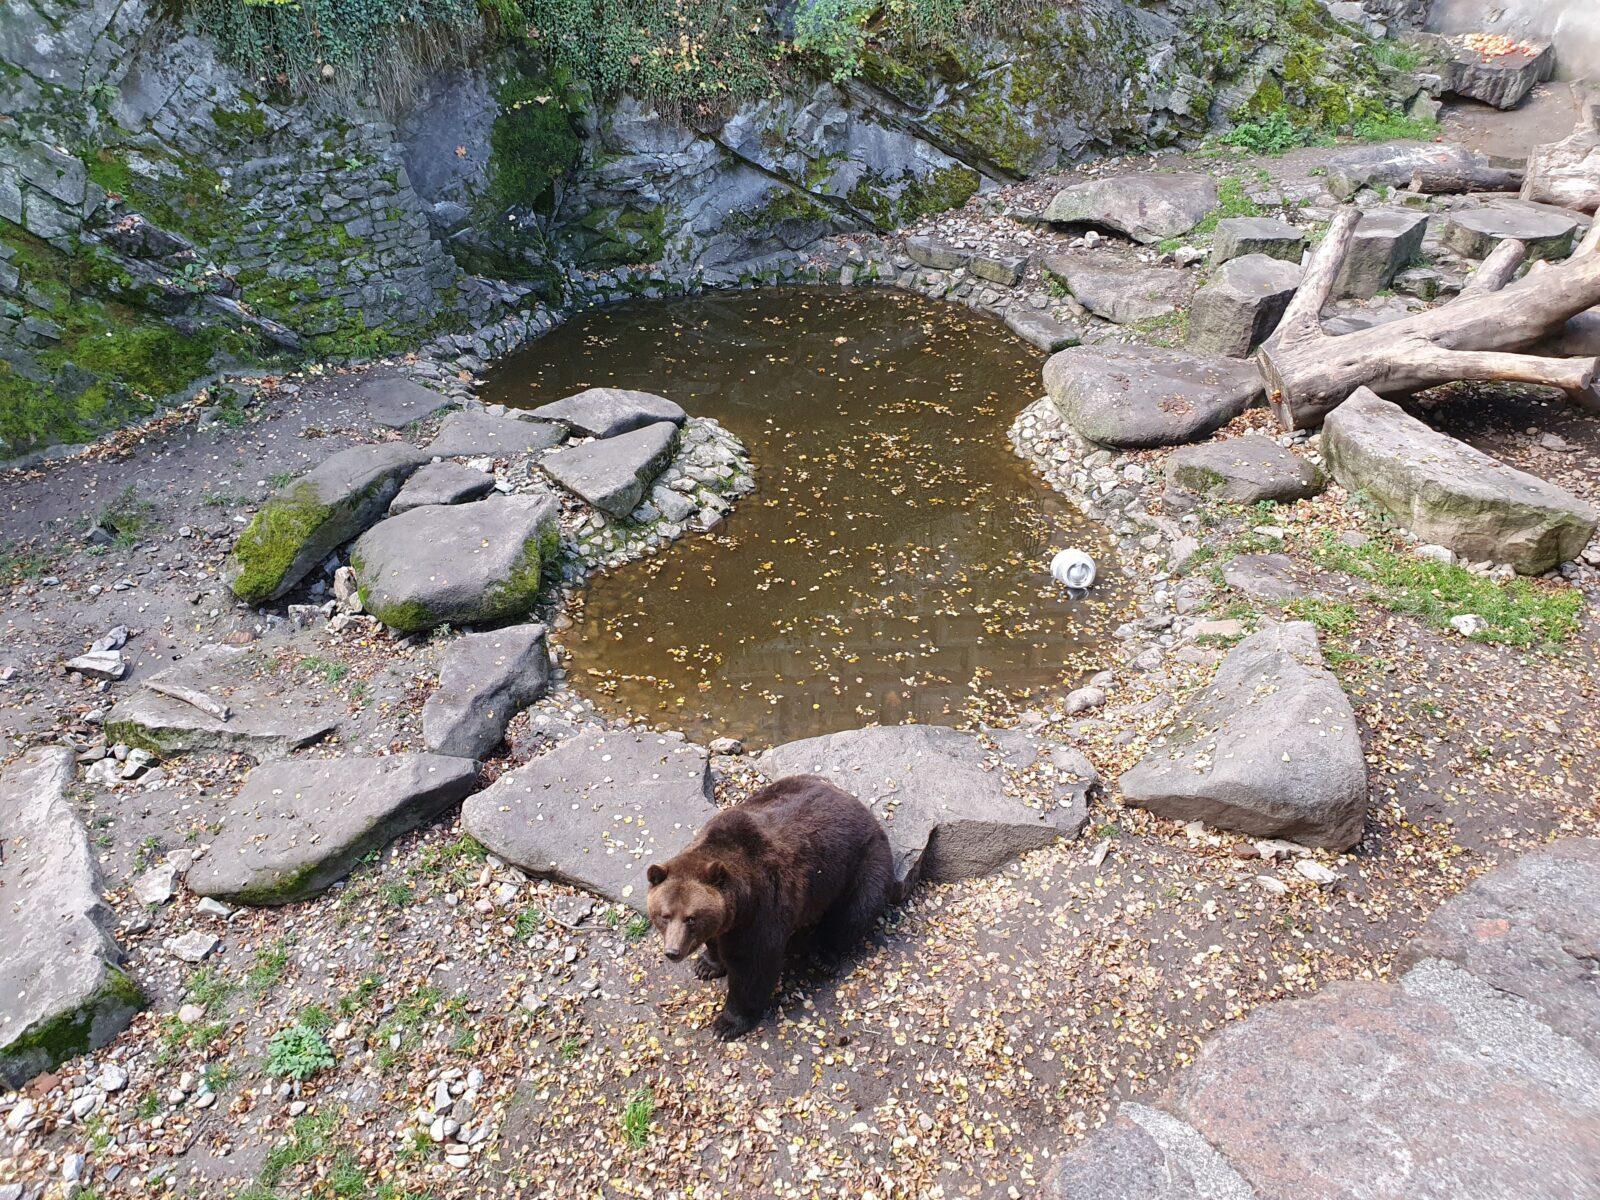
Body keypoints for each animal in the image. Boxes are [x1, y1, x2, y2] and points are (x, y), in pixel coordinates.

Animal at [646, 773, 894, 1040]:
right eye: (664, 915)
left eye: (690, 918)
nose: (673, 952)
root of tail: (863, 809)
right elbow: (715, 941)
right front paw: (706, 965)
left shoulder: (761, 908)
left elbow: (753, 966)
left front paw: (726, 1024)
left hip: (862, 863)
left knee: (855, 913)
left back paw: (824, 956)